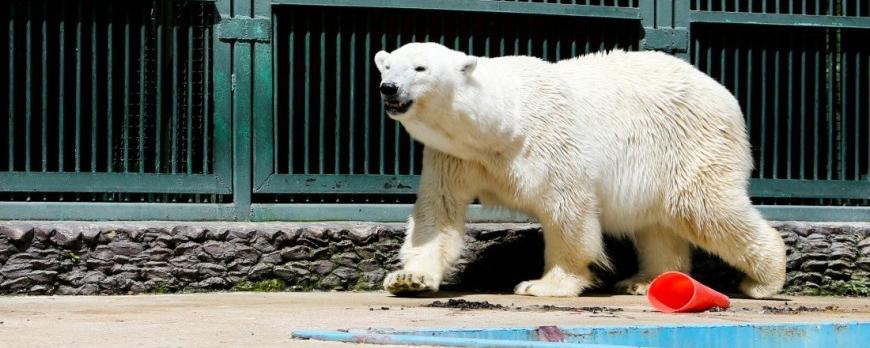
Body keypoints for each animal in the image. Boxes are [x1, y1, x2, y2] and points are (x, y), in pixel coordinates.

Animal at [374, 42, 792, 298]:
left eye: (420, 68)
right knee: (657, 224)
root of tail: (725, 94)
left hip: (691, 144)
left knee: (704, 208)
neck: (502, 124)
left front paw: (542, 285)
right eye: (388, 65)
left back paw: (763, 280)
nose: (388, 88)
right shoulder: (454, 156)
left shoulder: (550, 140)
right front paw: (409, 278)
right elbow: (439, 212)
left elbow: (568, 209)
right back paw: (645, 281)